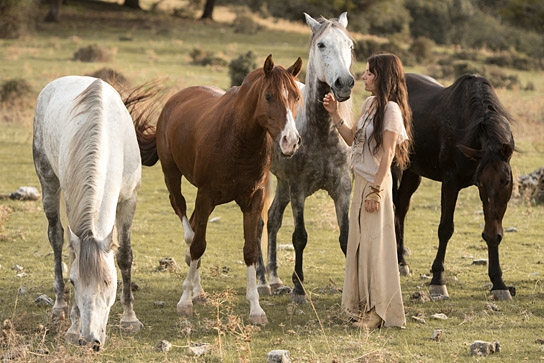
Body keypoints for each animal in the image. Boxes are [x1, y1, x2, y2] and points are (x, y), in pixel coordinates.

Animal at [33, 77, 146, 352]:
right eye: (74, 282)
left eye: (109, 282)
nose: (90, 340)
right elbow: (72, 253)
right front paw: (73, 327)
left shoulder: (129, 201)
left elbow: (125, 256)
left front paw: (130, 319)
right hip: (48, 182)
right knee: (56, 237)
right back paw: (59, 306)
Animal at [139, 54, 302, 324]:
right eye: (269, 96)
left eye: (297, 96)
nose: (291, 141)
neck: (238, 139)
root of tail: (175, 99)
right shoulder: (205, 196)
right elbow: (198, 245)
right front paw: (184, 302)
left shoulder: (254, 200)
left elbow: (250, 250)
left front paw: (256, 309)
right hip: (172, 175)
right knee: (183, 215)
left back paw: (199, 291)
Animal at [394, 74, 516, 302]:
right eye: (481, 182)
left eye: (505, 180)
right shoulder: (450, 182)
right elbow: (445, 229)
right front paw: (437, 280)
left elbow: (493, 223)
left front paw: (499, 283)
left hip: (412, 172)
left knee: (401, 208)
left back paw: (401, 262)